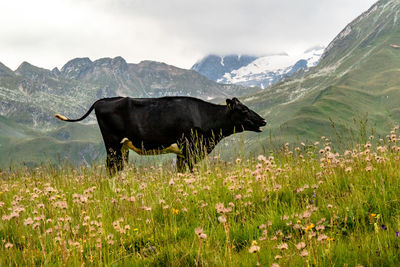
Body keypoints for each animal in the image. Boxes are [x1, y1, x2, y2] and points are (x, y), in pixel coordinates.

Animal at [54, 96, 266, 174]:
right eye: (244, 110)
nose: (263, 120)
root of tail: (104, 100)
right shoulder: (190, 149)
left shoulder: (182, 153)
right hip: (112, 145)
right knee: (112, 168)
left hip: (122, 147)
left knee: (119, 168)